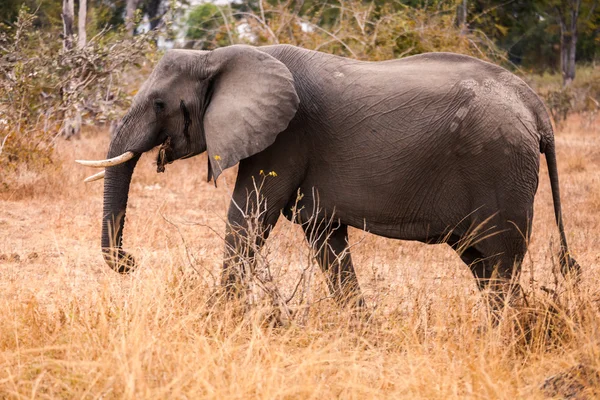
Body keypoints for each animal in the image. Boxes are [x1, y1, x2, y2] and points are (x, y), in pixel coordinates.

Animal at [77, 43, 580, 306]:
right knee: (482, 263)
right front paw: (362, 332)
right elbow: (324, 237)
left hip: (501, 166)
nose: (129, 262)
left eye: (159, 103)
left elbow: (249, 218)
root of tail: (536, 108)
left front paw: (218, 318)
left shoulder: (286, 136)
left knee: (500, 261)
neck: (219, 56)